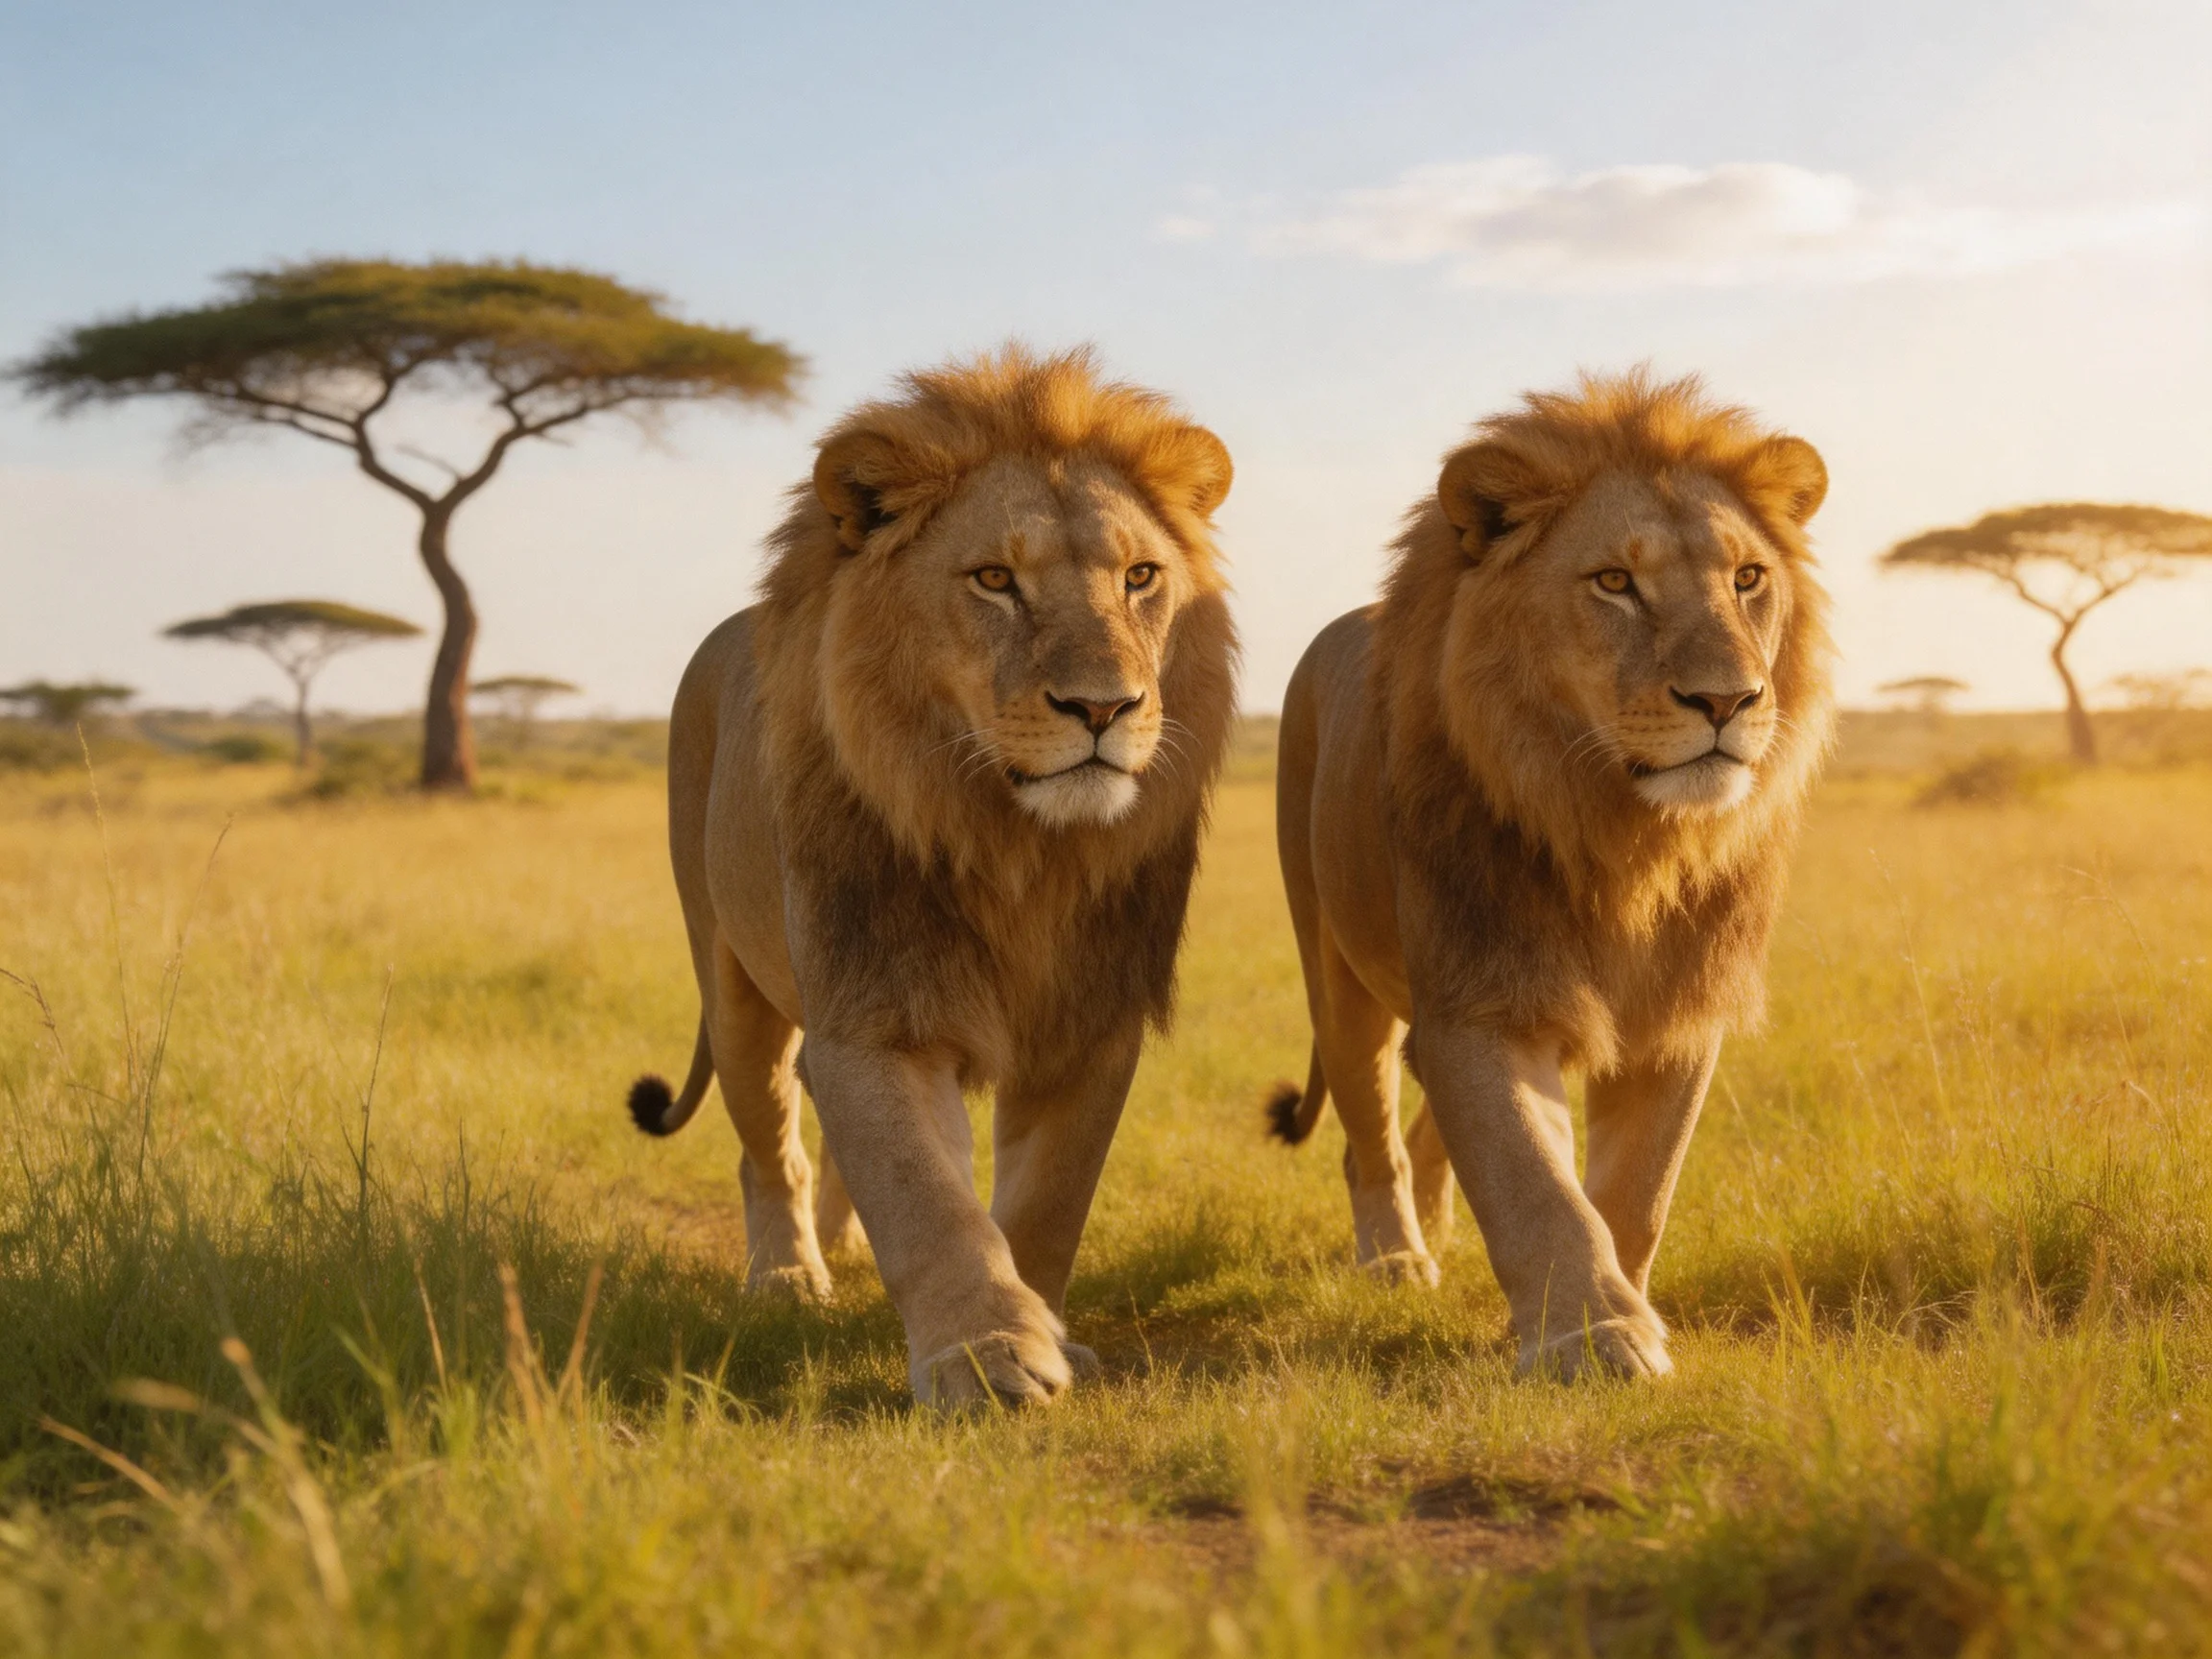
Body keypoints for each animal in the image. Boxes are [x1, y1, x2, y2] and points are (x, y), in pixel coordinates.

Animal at [626, 345, 1237, 1408]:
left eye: (1141, 576)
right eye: (994, 578)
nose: (1104, 707)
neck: (1020, 849)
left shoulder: (1092, 1025)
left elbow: (1046, 1203)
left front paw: (1046, 1333)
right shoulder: (877, 1011)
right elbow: (924, 1195)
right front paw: (985, 1356)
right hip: (732, 983)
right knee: (768, 1143)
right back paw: (788, 1277)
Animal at [1269, 370, 1833, 1379]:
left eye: (1748, 578)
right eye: (1614, 582)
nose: (1728, 700)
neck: (1624, 836)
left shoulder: (1678, 1016)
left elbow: (1635, 1193)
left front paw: (1587, 1311)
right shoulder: (1479, 1003)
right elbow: (1533, 1180)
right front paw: (1594, 1336)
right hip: (1338, 981)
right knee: (1372, 1136)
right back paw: (1398, 1259)